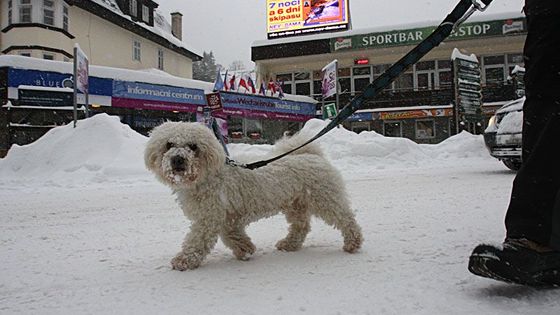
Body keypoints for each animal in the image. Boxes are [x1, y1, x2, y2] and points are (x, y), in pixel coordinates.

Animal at [144, 121, 364, 272]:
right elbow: (231, 234)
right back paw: (289, 244)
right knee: (301, 227)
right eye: (169, 144)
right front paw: (245, 248)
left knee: (346, 219)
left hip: (325, 200)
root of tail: (312, 155)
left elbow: (196, 241)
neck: (209, 176)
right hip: (296, 205)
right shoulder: (225, 216)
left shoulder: (209, 218)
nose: (177, 160)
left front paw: (184, 260)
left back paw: (353, 243)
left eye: (193, 146)